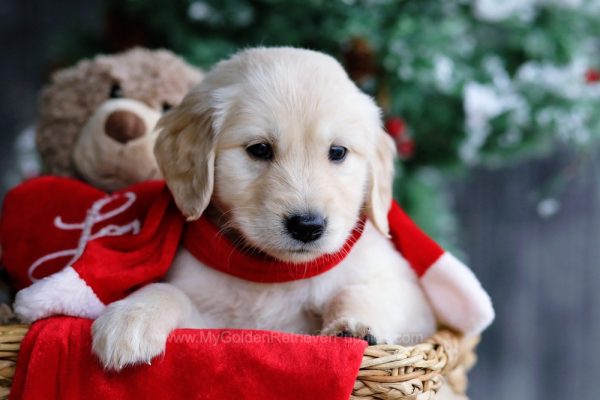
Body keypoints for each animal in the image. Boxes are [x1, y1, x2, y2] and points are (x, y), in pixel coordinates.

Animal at [90, 48, 436, 370]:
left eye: (338, 152)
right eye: (259, 149)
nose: (307, 226)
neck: (274, 273)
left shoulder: (412, 297)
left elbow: (362, 291)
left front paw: (353, 326)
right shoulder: (215, 326)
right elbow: (170, 291)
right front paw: (132, 317)